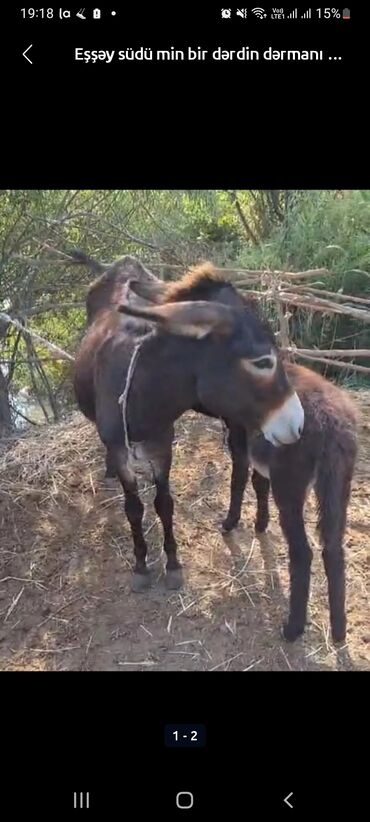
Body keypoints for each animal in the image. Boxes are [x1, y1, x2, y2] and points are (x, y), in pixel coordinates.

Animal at [73, 254, 304, 596]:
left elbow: (164, 503)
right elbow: (134, 507)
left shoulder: (162, 444)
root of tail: (123, 263)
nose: (298, 424)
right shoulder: (120, 448)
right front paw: (141, 566)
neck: (140, 389)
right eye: (262, 362)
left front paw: (172, 566)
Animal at [224, 366, 356, 644]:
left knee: (303, 553)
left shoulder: (239, 438)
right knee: (334, 550)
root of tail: (330, 421)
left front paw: (230, 522)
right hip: (338, 484)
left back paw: (293, 629)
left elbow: (239, 478)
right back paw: (339, 631)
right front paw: (261, 524)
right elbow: (259, 483)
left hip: (290, 487)